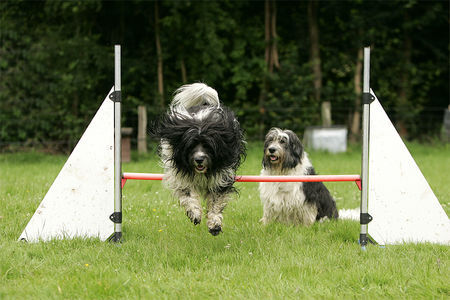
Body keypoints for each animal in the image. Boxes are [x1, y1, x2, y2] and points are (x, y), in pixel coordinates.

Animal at [149, 83, 244, 236]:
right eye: (191, 145)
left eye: (208, 146)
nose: (199, 159)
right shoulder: (181, 175)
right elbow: (188, 194)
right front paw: (194, 213)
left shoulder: (221, 177)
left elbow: (216, 201)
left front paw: (214, 224)